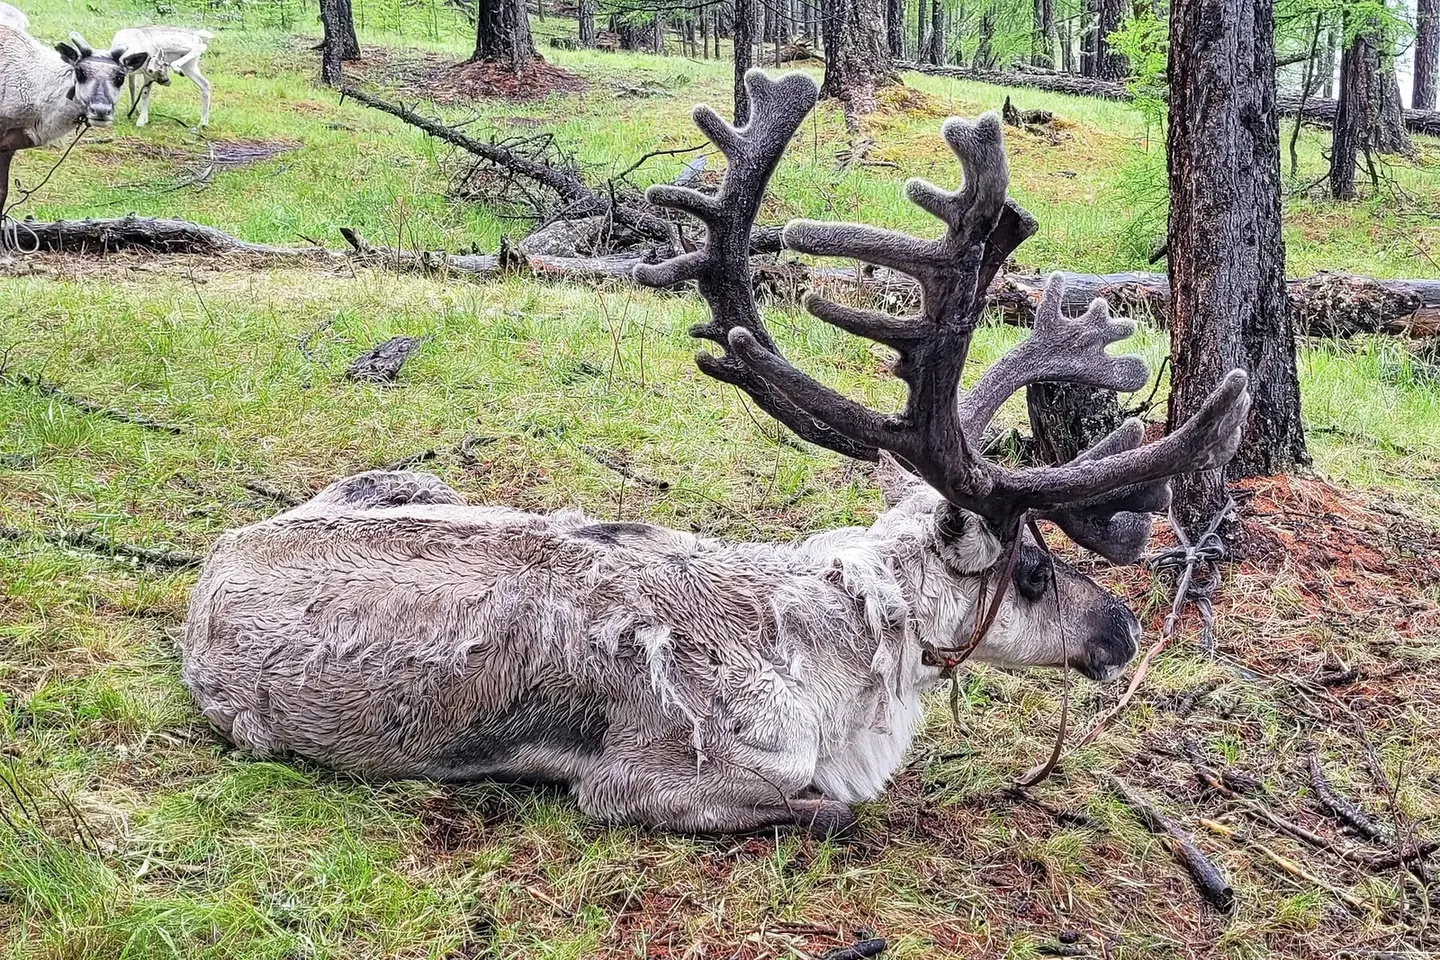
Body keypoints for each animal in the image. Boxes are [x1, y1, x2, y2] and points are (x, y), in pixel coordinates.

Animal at [180, 71, 1251, 837]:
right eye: (1031, 568)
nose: (1123, 630)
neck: (839, 663)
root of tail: (214, 559)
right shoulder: (643, 782)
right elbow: (833, 814)